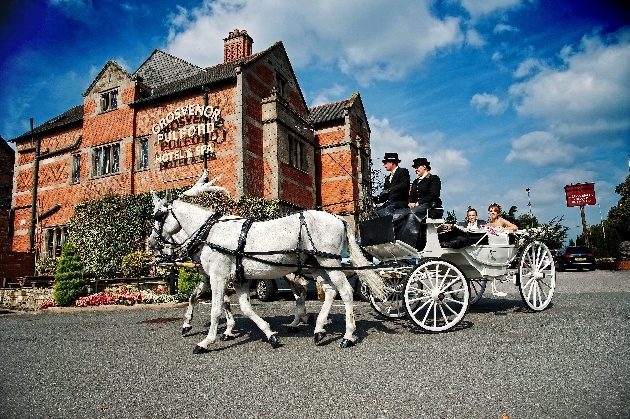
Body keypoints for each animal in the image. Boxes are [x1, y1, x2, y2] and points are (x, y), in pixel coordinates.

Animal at [149, 176, 386, 352]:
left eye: (158, 216)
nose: (152, 244)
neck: (211, 233)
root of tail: (338, 218)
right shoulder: (238, 278)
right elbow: (243, 307)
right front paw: (269, 334)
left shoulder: (218, 276)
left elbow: (216, 308)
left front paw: (207, 341)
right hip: (318, 264)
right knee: (328, 291)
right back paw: (317, 328)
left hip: (329, 261)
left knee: (344, 291)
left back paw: (347, 335)